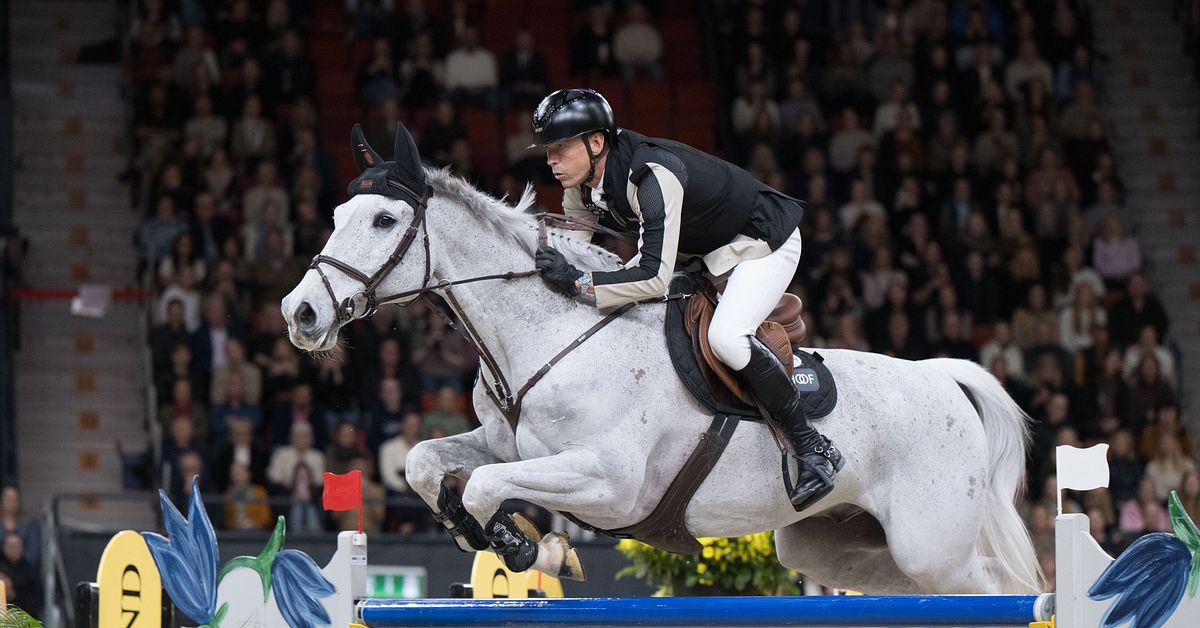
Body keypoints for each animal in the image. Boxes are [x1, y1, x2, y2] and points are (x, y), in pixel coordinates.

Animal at [282, 123, 1042, 595]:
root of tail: (940, 377)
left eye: (384, 220)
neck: (550, 333)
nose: (301, 313)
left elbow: (483, 486)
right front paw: (496, 540)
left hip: (930, 542)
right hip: (837, 545)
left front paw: (518, 545)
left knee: (995, 587)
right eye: (336, 216)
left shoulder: (609, 483)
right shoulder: (505, 444)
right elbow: (427, 463)